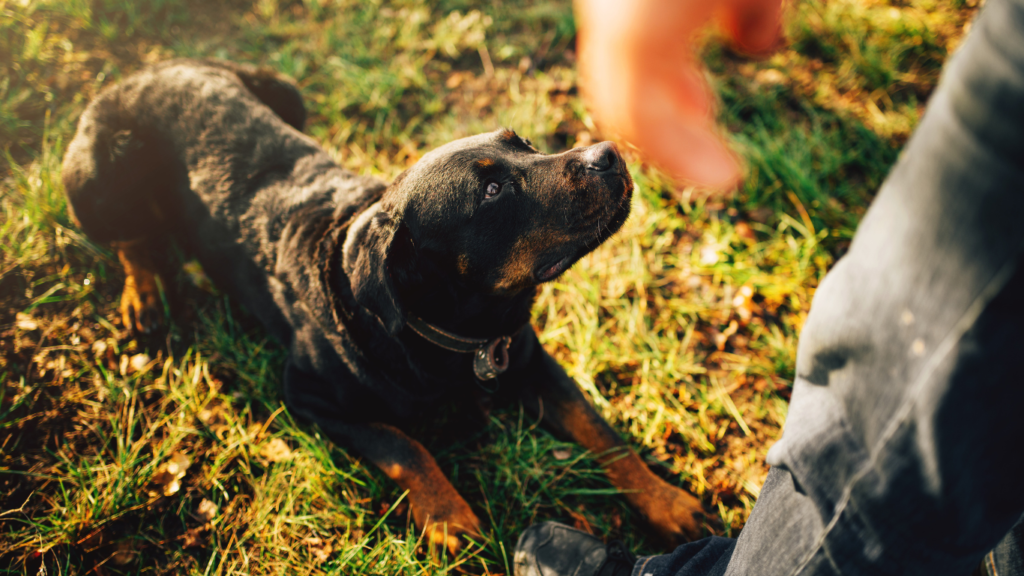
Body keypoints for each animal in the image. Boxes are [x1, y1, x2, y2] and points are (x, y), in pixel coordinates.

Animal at [61, 60, 704, 549]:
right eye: (492, 190)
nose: (608, 154)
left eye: (524, 144)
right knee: (130, 240)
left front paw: (667, 502)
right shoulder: (306, 395)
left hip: (285, 95)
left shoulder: (529, 357)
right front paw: (447, 515)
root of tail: (144, 70)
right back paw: (144, 297)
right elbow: (402, 444)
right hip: (98, 177)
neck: (454, 334)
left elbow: (600, 429)